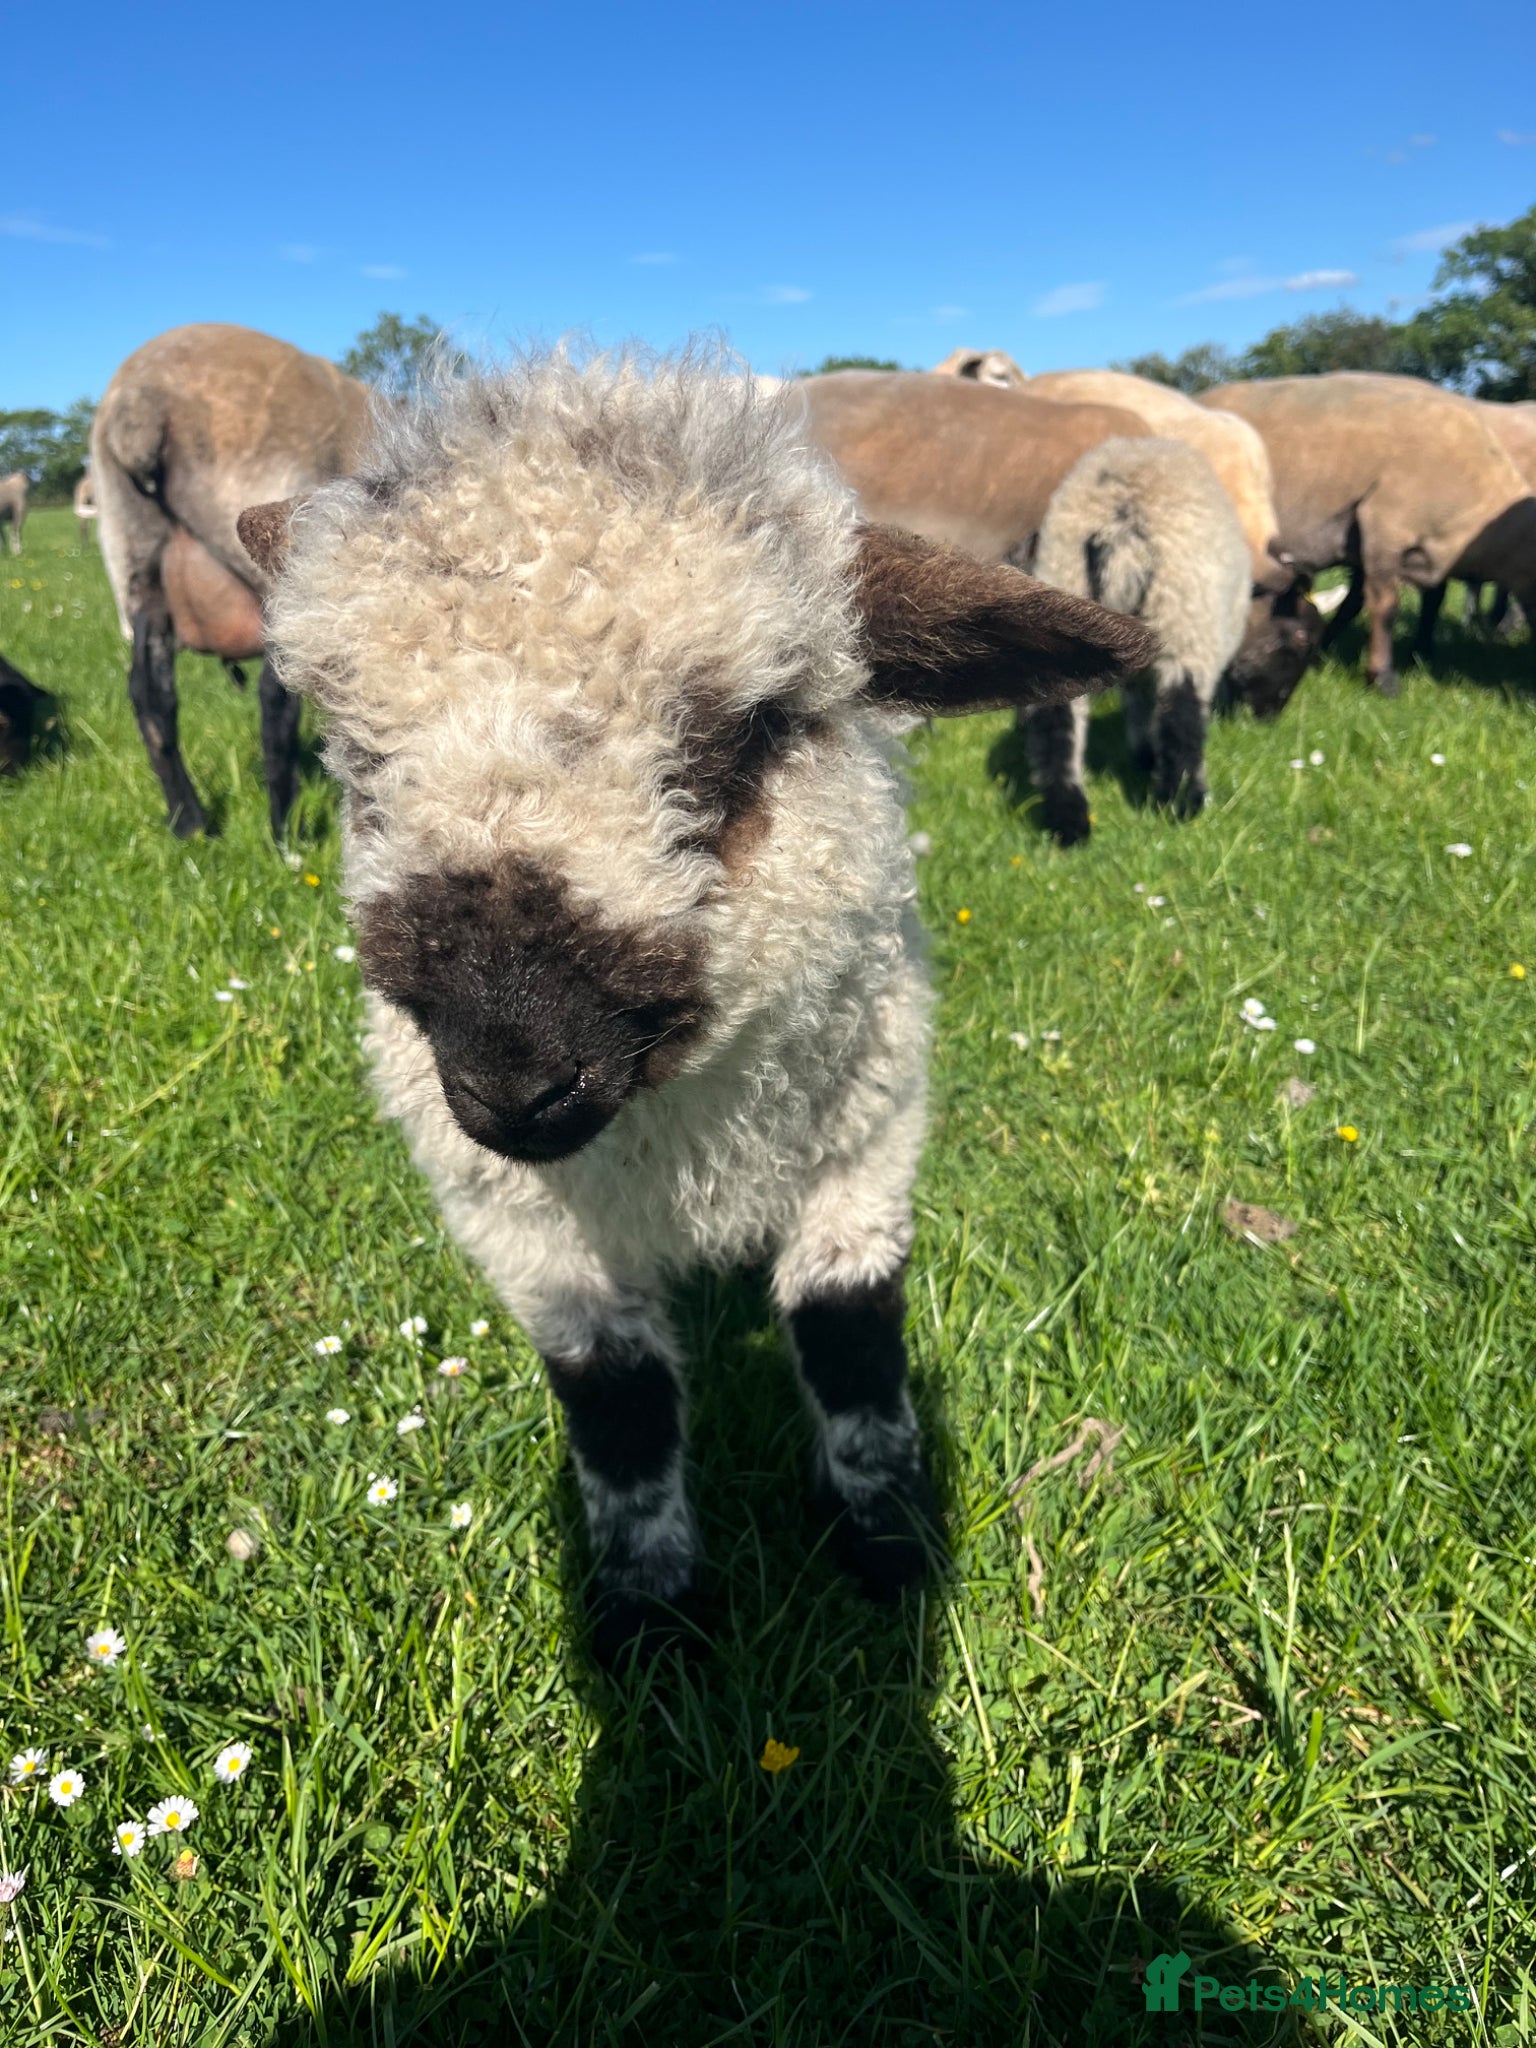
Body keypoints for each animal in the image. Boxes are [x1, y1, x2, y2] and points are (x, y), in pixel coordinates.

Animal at [93, 322, 371, 837]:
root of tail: (138, 403)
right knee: (275, 697)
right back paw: (286, 831)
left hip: (134, 555)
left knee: (149, 695)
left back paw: (190, 824)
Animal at [238, 348, 1154, 1665]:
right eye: (357, 754)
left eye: (753, 727)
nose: (512, 1079)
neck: (679, 1127)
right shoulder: (513, 1216)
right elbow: (616, 1399)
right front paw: (651, 1616)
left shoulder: (869, 1129)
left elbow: (851, 1334)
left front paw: (888, 1540)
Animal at [1021, 436, 1251, 844]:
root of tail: (1121, 519)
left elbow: (1139, 699)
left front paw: (1142, 755)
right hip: (1186, 621)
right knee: (1181, 718)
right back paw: (1182, 804)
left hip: (1065, 587)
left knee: (1057, 722)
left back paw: (1068, 820)